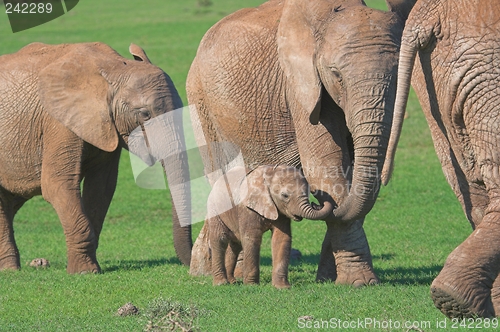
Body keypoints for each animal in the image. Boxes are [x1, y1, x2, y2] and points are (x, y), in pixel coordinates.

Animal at [0, 41, 191, 274]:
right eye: (145, 114)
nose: (190, 263)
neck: (114, 68)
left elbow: (101, 188)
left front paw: (87, 267)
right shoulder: (58, 122)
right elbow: (57, 184)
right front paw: (85, 271)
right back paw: (10, 270)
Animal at [205, 166, 334, 288]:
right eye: (285, 195)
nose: (317, 202)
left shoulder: (280, 211)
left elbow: (281, 238)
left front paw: (282, 287)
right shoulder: (247, 209)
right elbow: (252, 239)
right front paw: (252, 286)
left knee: (235, 245)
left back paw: (232, 282)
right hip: (213, 207)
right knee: (219, 239)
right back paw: (221, 283)